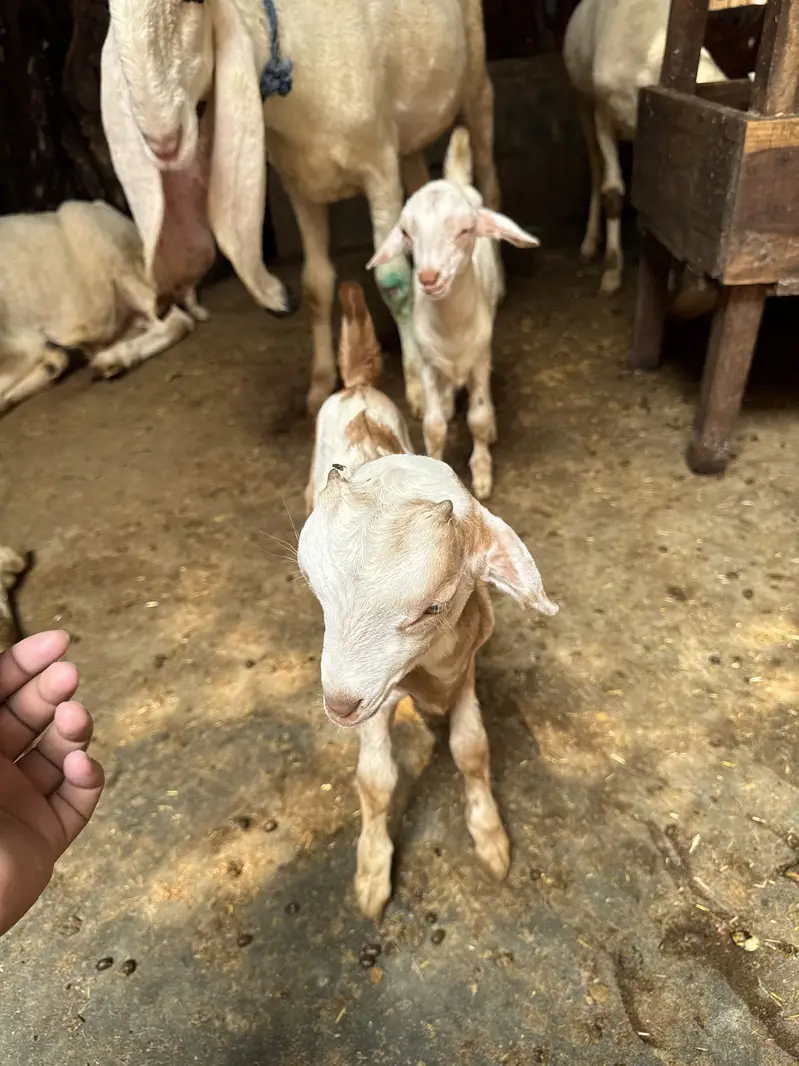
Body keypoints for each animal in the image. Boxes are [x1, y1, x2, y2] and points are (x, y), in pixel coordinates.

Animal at [101, 0, 501, 419]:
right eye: (112, 15)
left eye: (193, 4)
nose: (163, 141)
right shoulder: (300, 186)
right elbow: (315, 284)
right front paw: (321, 383)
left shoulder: (378, 168)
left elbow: (393, 280)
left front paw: (418, 390)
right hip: (407, 138)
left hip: (475, 78)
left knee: (488, 171)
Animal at [298, 451, 558, 921]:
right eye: (312, 586)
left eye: (434, 608)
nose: (338, 705)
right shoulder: (378, 698)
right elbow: (375, 780)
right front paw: (372, 871)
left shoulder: (465, 671)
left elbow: (471, 749)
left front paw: (489, 835)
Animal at [368, 128, 540, 502]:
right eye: (406, 234)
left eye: (464, 231)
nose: (428, 277)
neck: (452, 328)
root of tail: (454, 178)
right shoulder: (428, 363)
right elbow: (433, 426)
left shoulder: (478, 359)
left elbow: (478, 416)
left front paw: (483, 473)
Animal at [563, 0, 727, 295]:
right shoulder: (603, 115)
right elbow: (613, 191)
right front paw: (612, 271)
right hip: (581, 98)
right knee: (595, 168)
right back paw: (590, 243)